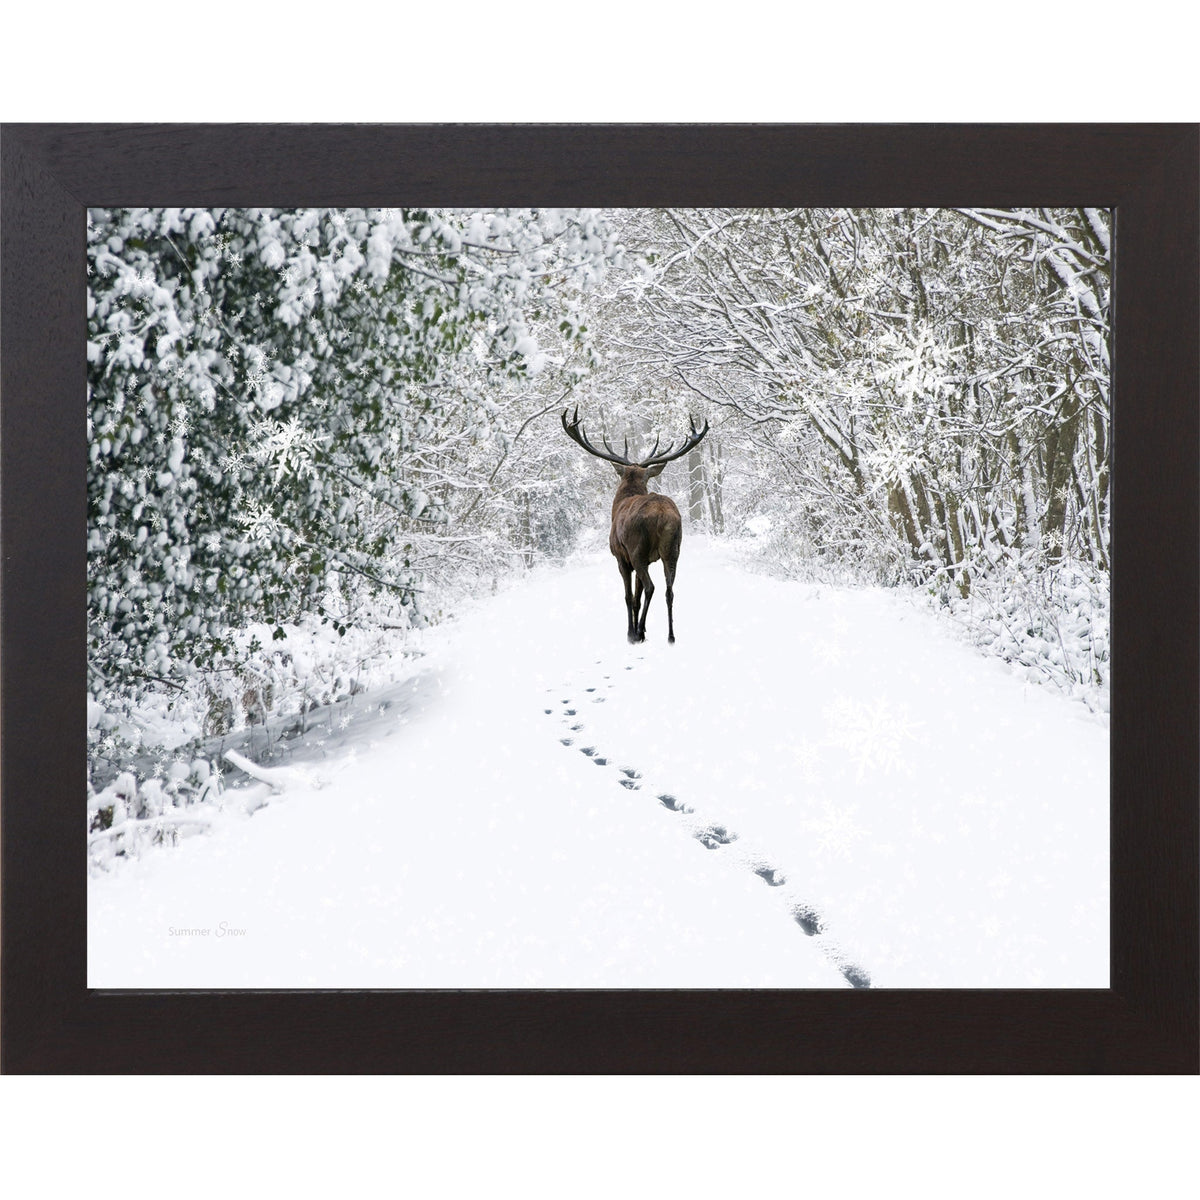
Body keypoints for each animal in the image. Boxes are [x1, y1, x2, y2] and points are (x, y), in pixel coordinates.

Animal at [561, 407, 710, 644]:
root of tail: (663, 515)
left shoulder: (621, 557)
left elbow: (629, 596)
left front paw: (631, 632)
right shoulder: (649, 559)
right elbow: (637, 597)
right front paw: (644, 629)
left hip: (637, 549)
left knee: (651, 587)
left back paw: (637, 632)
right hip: (673, 549)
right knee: (669, 589)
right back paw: (670, 636)